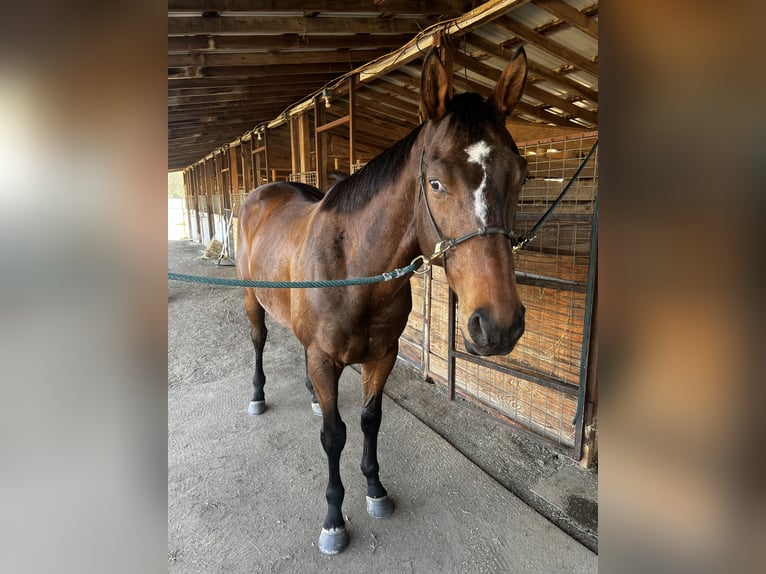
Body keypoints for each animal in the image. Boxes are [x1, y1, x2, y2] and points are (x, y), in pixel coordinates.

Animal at [237, 47, 532, 556]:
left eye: (519, 178)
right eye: (435, 183)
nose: (499, 325)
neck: (353, 270)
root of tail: (262, 192)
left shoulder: (383, 356)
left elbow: (370, 421)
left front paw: (375, 490)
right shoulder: (325, 358)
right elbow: (334, 434)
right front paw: (334, 519)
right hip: (253, 302)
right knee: (258, 342)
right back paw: (258, 396)